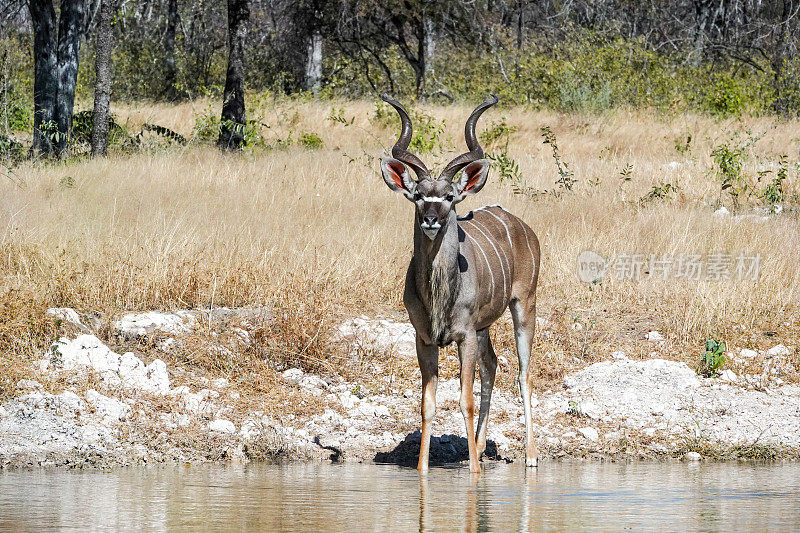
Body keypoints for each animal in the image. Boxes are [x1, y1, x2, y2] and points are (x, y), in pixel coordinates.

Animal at [378, 93, 540, 472]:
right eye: (418, 195)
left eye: (450, 197)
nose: (431, 219)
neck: (440, 292)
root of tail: (524, 228)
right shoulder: (425, 338)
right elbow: (428, 404)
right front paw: (423, 468)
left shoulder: (464, 335)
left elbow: (465, 399)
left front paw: (475, 472)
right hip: (484, 328)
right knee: (492, 366)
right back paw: (477, 448)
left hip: (524, 306)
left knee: (523, 374)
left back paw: (529, 457)